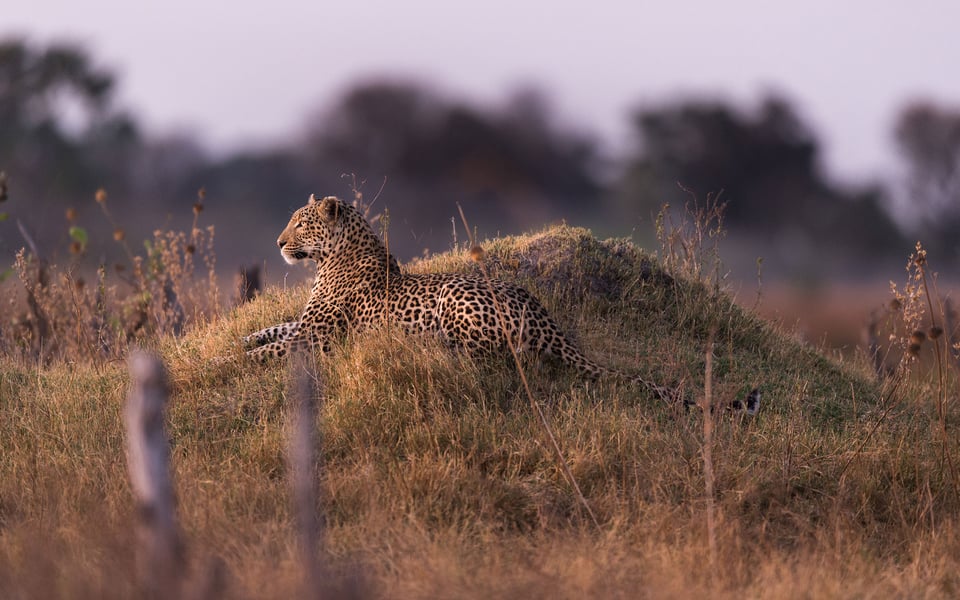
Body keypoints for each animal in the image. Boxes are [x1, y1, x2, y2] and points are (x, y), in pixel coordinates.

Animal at [242, 195, 756, 410]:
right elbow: (270, 331)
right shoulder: (304, 328)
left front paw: (232, 360)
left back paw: (434, 350)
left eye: (301, 223)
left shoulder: (317, 338)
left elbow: (269, 350)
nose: (277, 242)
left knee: (499, 360)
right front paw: (241, 341)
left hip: (458, 301)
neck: (335, 255)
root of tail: (542, 312)